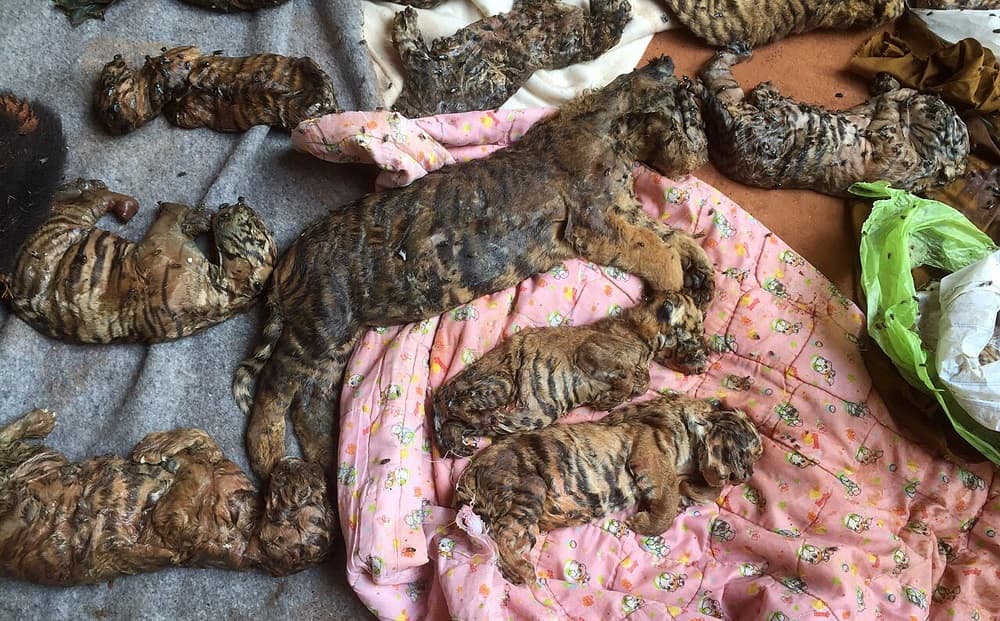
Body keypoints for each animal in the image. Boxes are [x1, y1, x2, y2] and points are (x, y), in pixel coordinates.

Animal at [0, 408, 333, 586]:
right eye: (318, 492)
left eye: (302, 495)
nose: (303, 463)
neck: (249, 513)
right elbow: (203, 440)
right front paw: (157, 445)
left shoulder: (180, 525)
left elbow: (195, 474)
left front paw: (166, 458)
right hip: (42, 460)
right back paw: (38, 421)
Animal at [3, 178, 276, 343]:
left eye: (255, 225)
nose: (239, 201)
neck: (224, 294)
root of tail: (11, 285)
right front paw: (202, 217)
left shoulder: (161, 239)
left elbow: (173, 210)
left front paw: (193, 215)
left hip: (68, 222)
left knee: (81, 198)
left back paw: (107, 195)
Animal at [433, 291, 709, 457]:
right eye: (696, 327)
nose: (706, 352)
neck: (642, 335)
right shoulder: (592, 352)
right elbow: (628, 378)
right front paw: (608, 400)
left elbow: (641, 381)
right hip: (502, 384)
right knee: (459, 404)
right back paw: (483, 418)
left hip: (531, 413)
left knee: (455, 422)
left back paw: (464, 439)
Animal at [454, 393, 763, 585]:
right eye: (748, 450)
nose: (745, 476)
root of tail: (471, 472)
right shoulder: (651, 452)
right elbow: (667, 501)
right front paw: (645, 522)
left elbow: (699, 490)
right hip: (529, 490)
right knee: (500, 536)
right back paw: (525, 572)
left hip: (529, 522)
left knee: (501, 541)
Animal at [692, 44, 969, 197]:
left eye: (944, 118)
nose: (933, 100)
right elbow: (888, 97)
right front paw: (887, 82)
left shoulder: (890, 141)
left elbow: (890, 108)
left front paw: (897, 91)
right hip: (736, 102)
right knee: (716, 70)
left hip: (743, 119)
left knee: (716, 87)